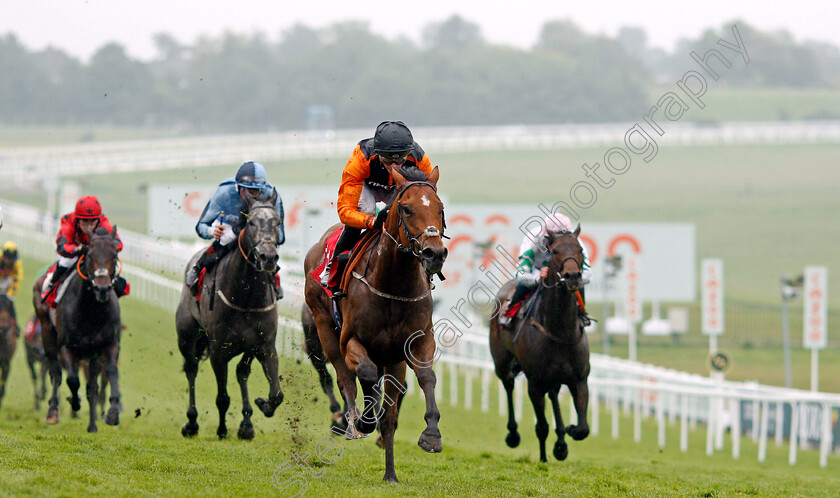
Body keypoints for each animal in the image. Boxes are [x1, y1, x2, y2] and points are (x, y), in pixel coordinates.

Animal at [38, 226, 124, 432]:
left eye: (114, 254)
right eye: (90, 255)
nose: (102, 288)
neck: (91, 311)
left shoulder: (109, 345)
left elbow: (111, 373)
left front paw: (113, 412)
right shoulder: (66, 347)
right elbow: (72, 379)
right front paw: (74, 401)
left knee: (91, 384)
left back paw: (92, 425)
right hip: (47, 333)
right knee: (56, 373)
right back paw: (53, 412)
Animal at [176, 190, 284, 440]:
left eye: (277, 222)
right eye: (251, 222)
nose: (268, 257)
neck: (245, 296)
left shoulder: (265, 346)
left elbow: (276, 394)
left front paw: (261, 406)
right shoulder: (218, 351)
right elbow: (222, 397)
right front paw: (222, 429)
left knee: (241, 372)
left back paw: (246, 423)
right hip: (186, 336)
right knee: (191, 369)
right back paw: (192, 422)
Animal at [302, 166, 446, 482]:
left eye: (440, 209)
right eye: (406, 209)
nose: (434, 253)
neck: (393, 284)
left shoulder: (415, 343)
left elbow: (426, 377)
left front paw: (431, 434)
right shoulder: (351, 341)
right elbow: (364, 374)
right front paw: (365, 420)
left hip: (391, 359)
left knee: (389, 414)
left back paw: (390, 474)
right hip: (323, 327)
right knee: (345, 379)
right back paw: (352, 423)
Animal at [486, 227, 592, 462]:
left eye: (580, 249)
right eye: (554, 251)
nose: (573, 276)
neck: (560, 330)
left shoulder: (579, 379)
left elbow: (583, 429)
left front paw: (569, 432)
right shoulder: (535, 382)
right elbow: (541, 427)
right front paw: (543, 459)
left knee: (553, 394)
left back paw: (561, 441)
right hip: (501, 363)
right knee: (508, 384)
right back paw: (513, 434)